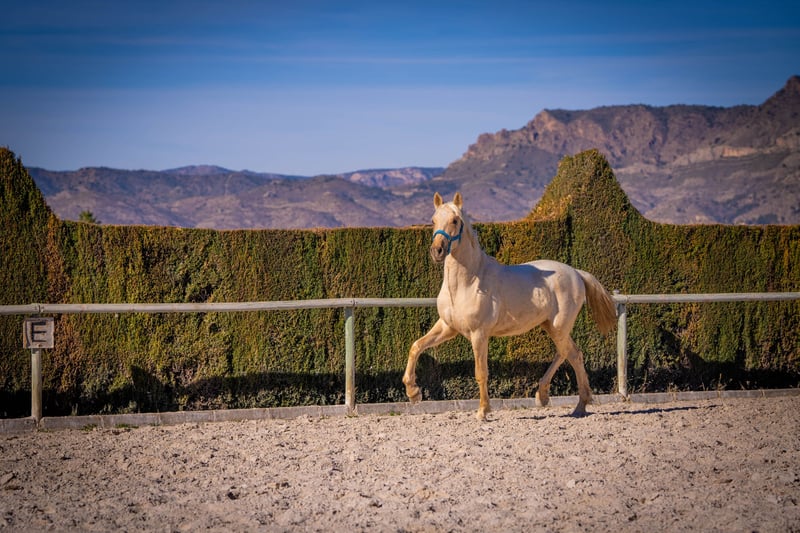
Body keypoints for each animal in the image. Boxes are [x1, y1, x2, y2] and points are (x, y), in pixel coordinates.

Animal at [403, 192, 617, 420]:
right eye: (433, 220)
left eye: (455, 220)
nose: (437, 251)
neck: (469, 282)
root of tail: (576, 273)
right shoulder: (447, 327)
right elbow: (416, 346)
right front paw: (413, 392)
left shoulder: (479, 334)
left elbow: (481, 372)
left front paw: (483, 411)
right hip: (551, 326)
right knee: (568, 353)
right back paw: (559, 401)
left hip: (559, 326)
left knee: (572, 354)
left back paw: (570, 403)